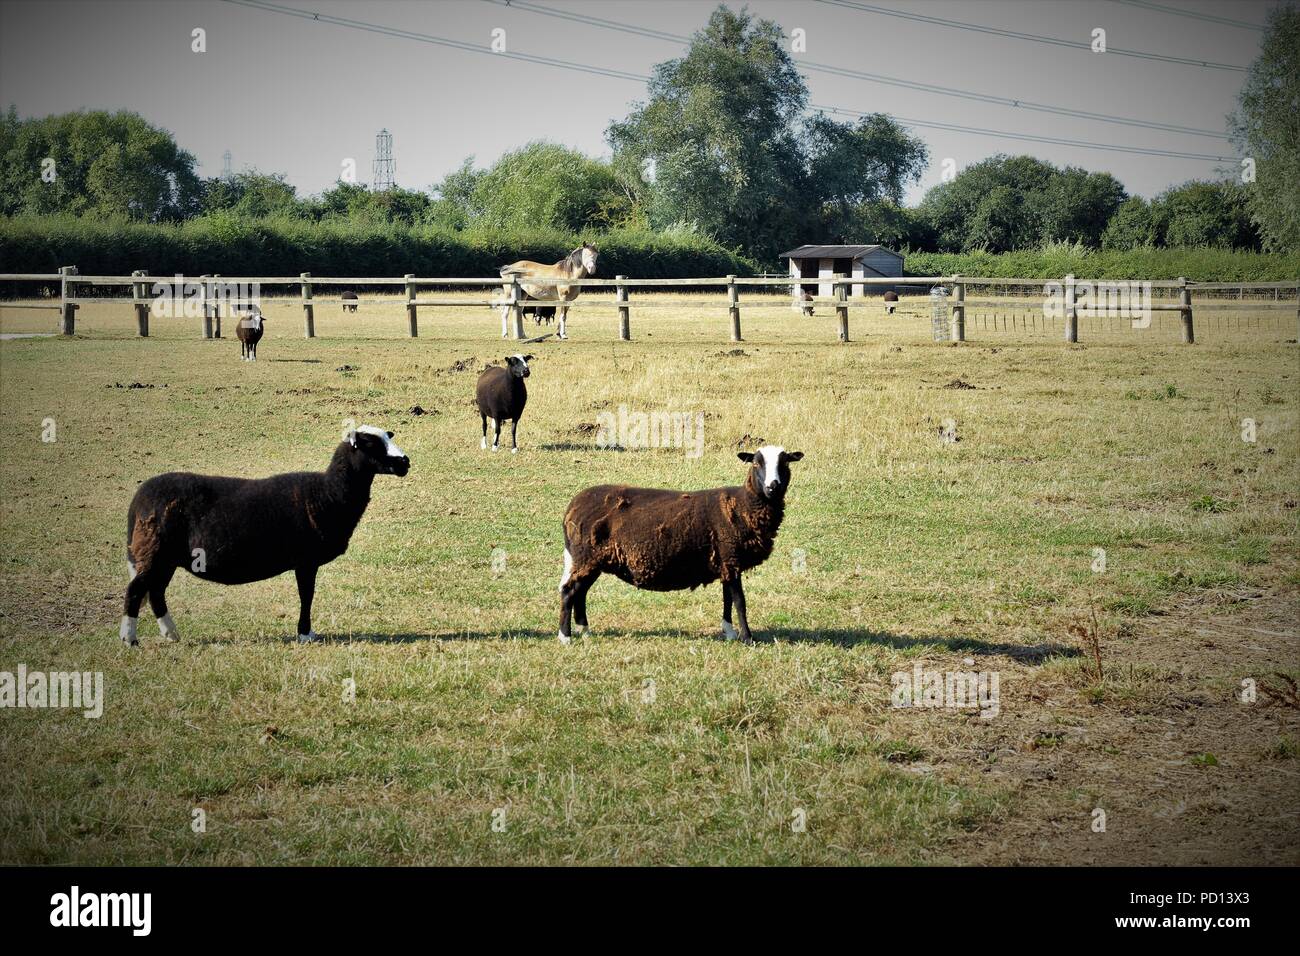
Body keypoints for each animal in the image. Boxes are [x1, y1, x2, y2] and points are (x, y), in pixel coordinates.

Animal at [118, 426, 410, 646]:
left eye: (388, 437)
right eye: (370, 444)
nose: (405, 462)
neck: (327, 493)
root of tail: (138, 498)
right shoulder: (306, 560)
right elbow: (307, 595)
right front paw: (305, 634)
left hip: (162, 556)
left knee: (155, 592)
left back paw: (172, 634)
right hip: (155, 551)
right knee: (135, 591)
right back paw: (130, 639)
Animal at [557, 445, 804, 645]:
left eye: (785, 463)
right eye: (756, 463)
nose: (773, 487)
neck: (743, 505)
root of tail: (572, 507)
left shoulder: (726, 560)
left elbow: (727, 598)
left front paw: (730, 632)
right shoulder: (731, 556)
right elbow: (740, 601)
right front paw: (747, 638)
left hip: (590, 560)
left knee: (580, 592)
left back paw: (585, 631)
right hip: (586, 557)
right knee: (569, 591)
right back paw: (565, 637)